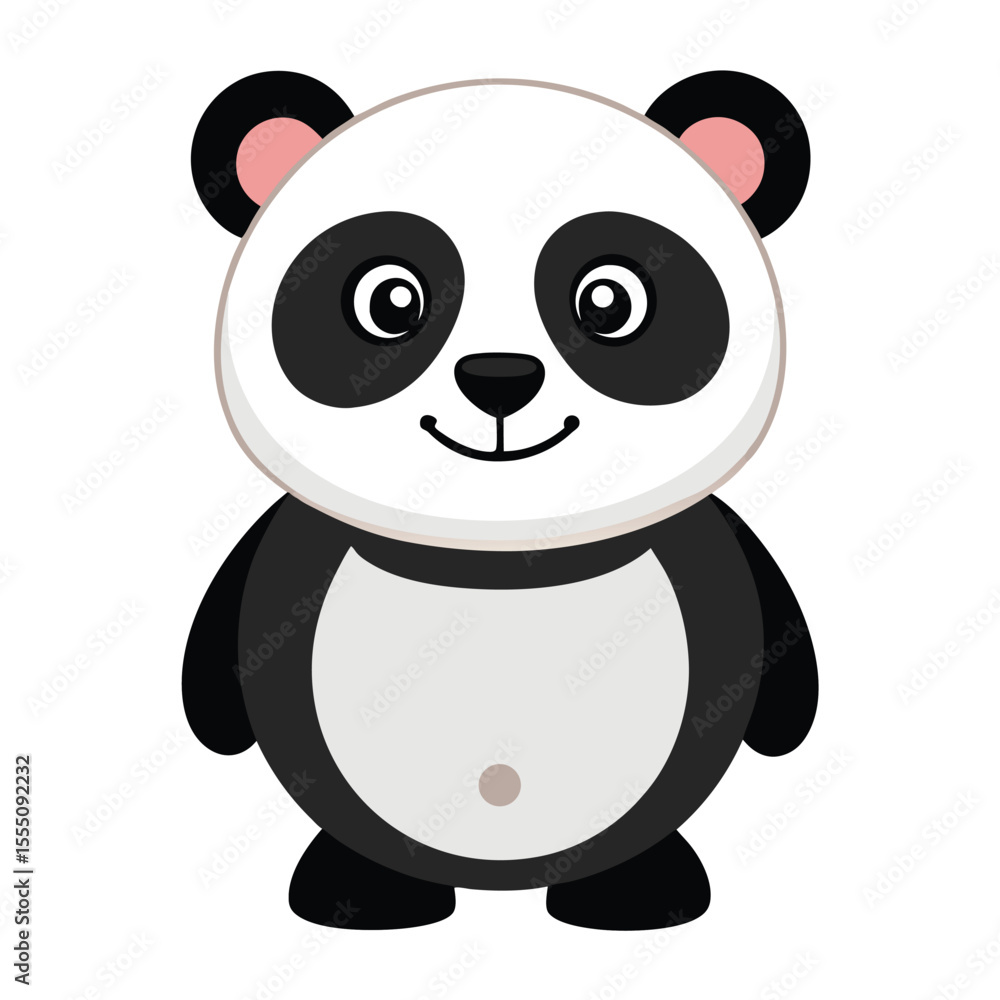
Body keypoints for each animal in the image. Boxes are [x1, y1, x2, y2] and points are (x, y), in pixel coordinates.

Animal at [184, 70, 818, 931]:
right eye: (390, 301)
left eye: (610, 302)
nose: (499, 379)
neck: (499, 546)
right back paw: (365, 895)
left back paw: (637, 893)